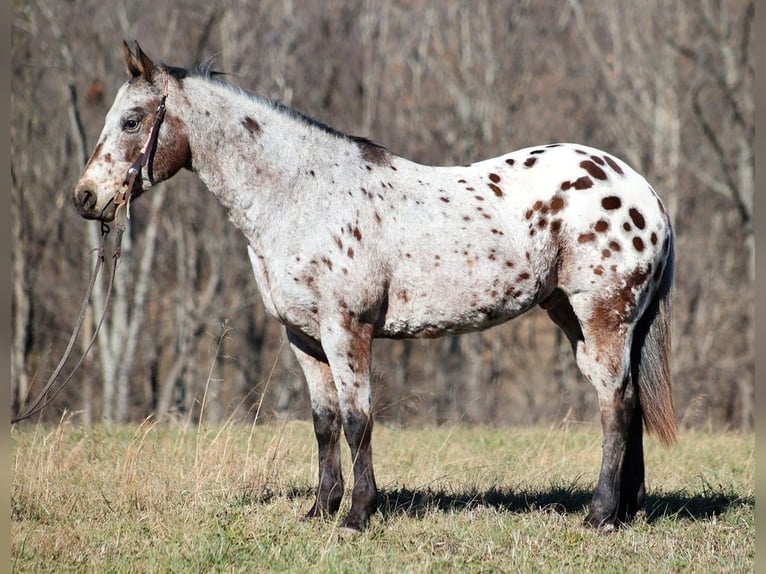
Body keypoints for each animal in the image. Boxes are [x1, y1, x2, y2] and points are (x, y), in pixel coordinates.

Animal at [75, 41, 676, 536]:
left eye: (132, 120)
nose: (86, 197)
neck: (301, 196)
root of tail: (642, 191)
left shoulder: (348, 330)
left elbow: (358, 420)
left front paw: (357, 516)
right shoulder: (304, 338)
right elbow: (324, 424)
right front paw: (320, 510)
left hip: (602, 318)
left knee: (616, 403)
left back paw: (600, 516)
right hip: (573, 317)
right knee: (625, 402)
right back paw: (626, 510)